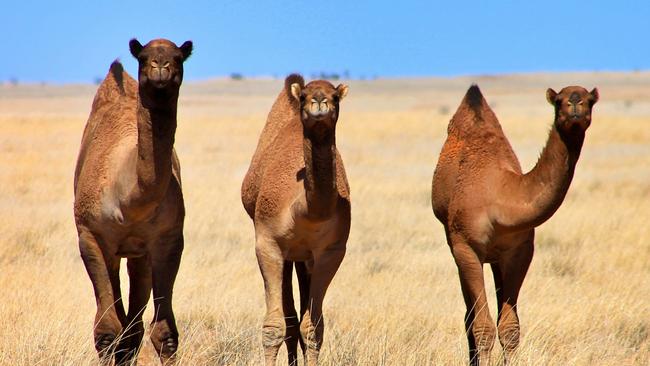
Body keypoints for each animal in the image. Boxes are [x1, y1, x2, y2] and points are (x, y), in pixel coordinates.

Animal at [73, 37, 191, 364]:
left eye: (179, 57)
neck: (130, 202)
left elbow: (164, 332)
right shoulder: (91, 235)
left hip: (139, 255)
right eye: (144, 57)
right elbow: (106, 331)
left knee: (133, 326)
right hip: (112, 252)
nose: (161, 68)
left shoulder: (168, 240)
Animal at [239, 74, 350, 366]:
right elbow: (274, 326)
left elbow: (312, 327)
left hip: (304, 257)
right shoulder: (267, 244)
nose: (319, 101)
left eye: (335, 96)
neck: (305, 211)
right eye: (304, 96)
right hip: (287, 253)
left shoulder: (331, 251)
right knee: (288, 317)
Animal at [430, 85, 596, 364]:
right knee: (469, 316)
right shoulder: (466, 247)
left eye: (591, 100)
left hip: (496, 257)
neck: (503, 197)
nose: (575, 105)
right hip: (455, 242)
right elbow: (482, 327)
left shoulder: (521, 249)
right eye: (559, 100)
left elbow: (509, 328)